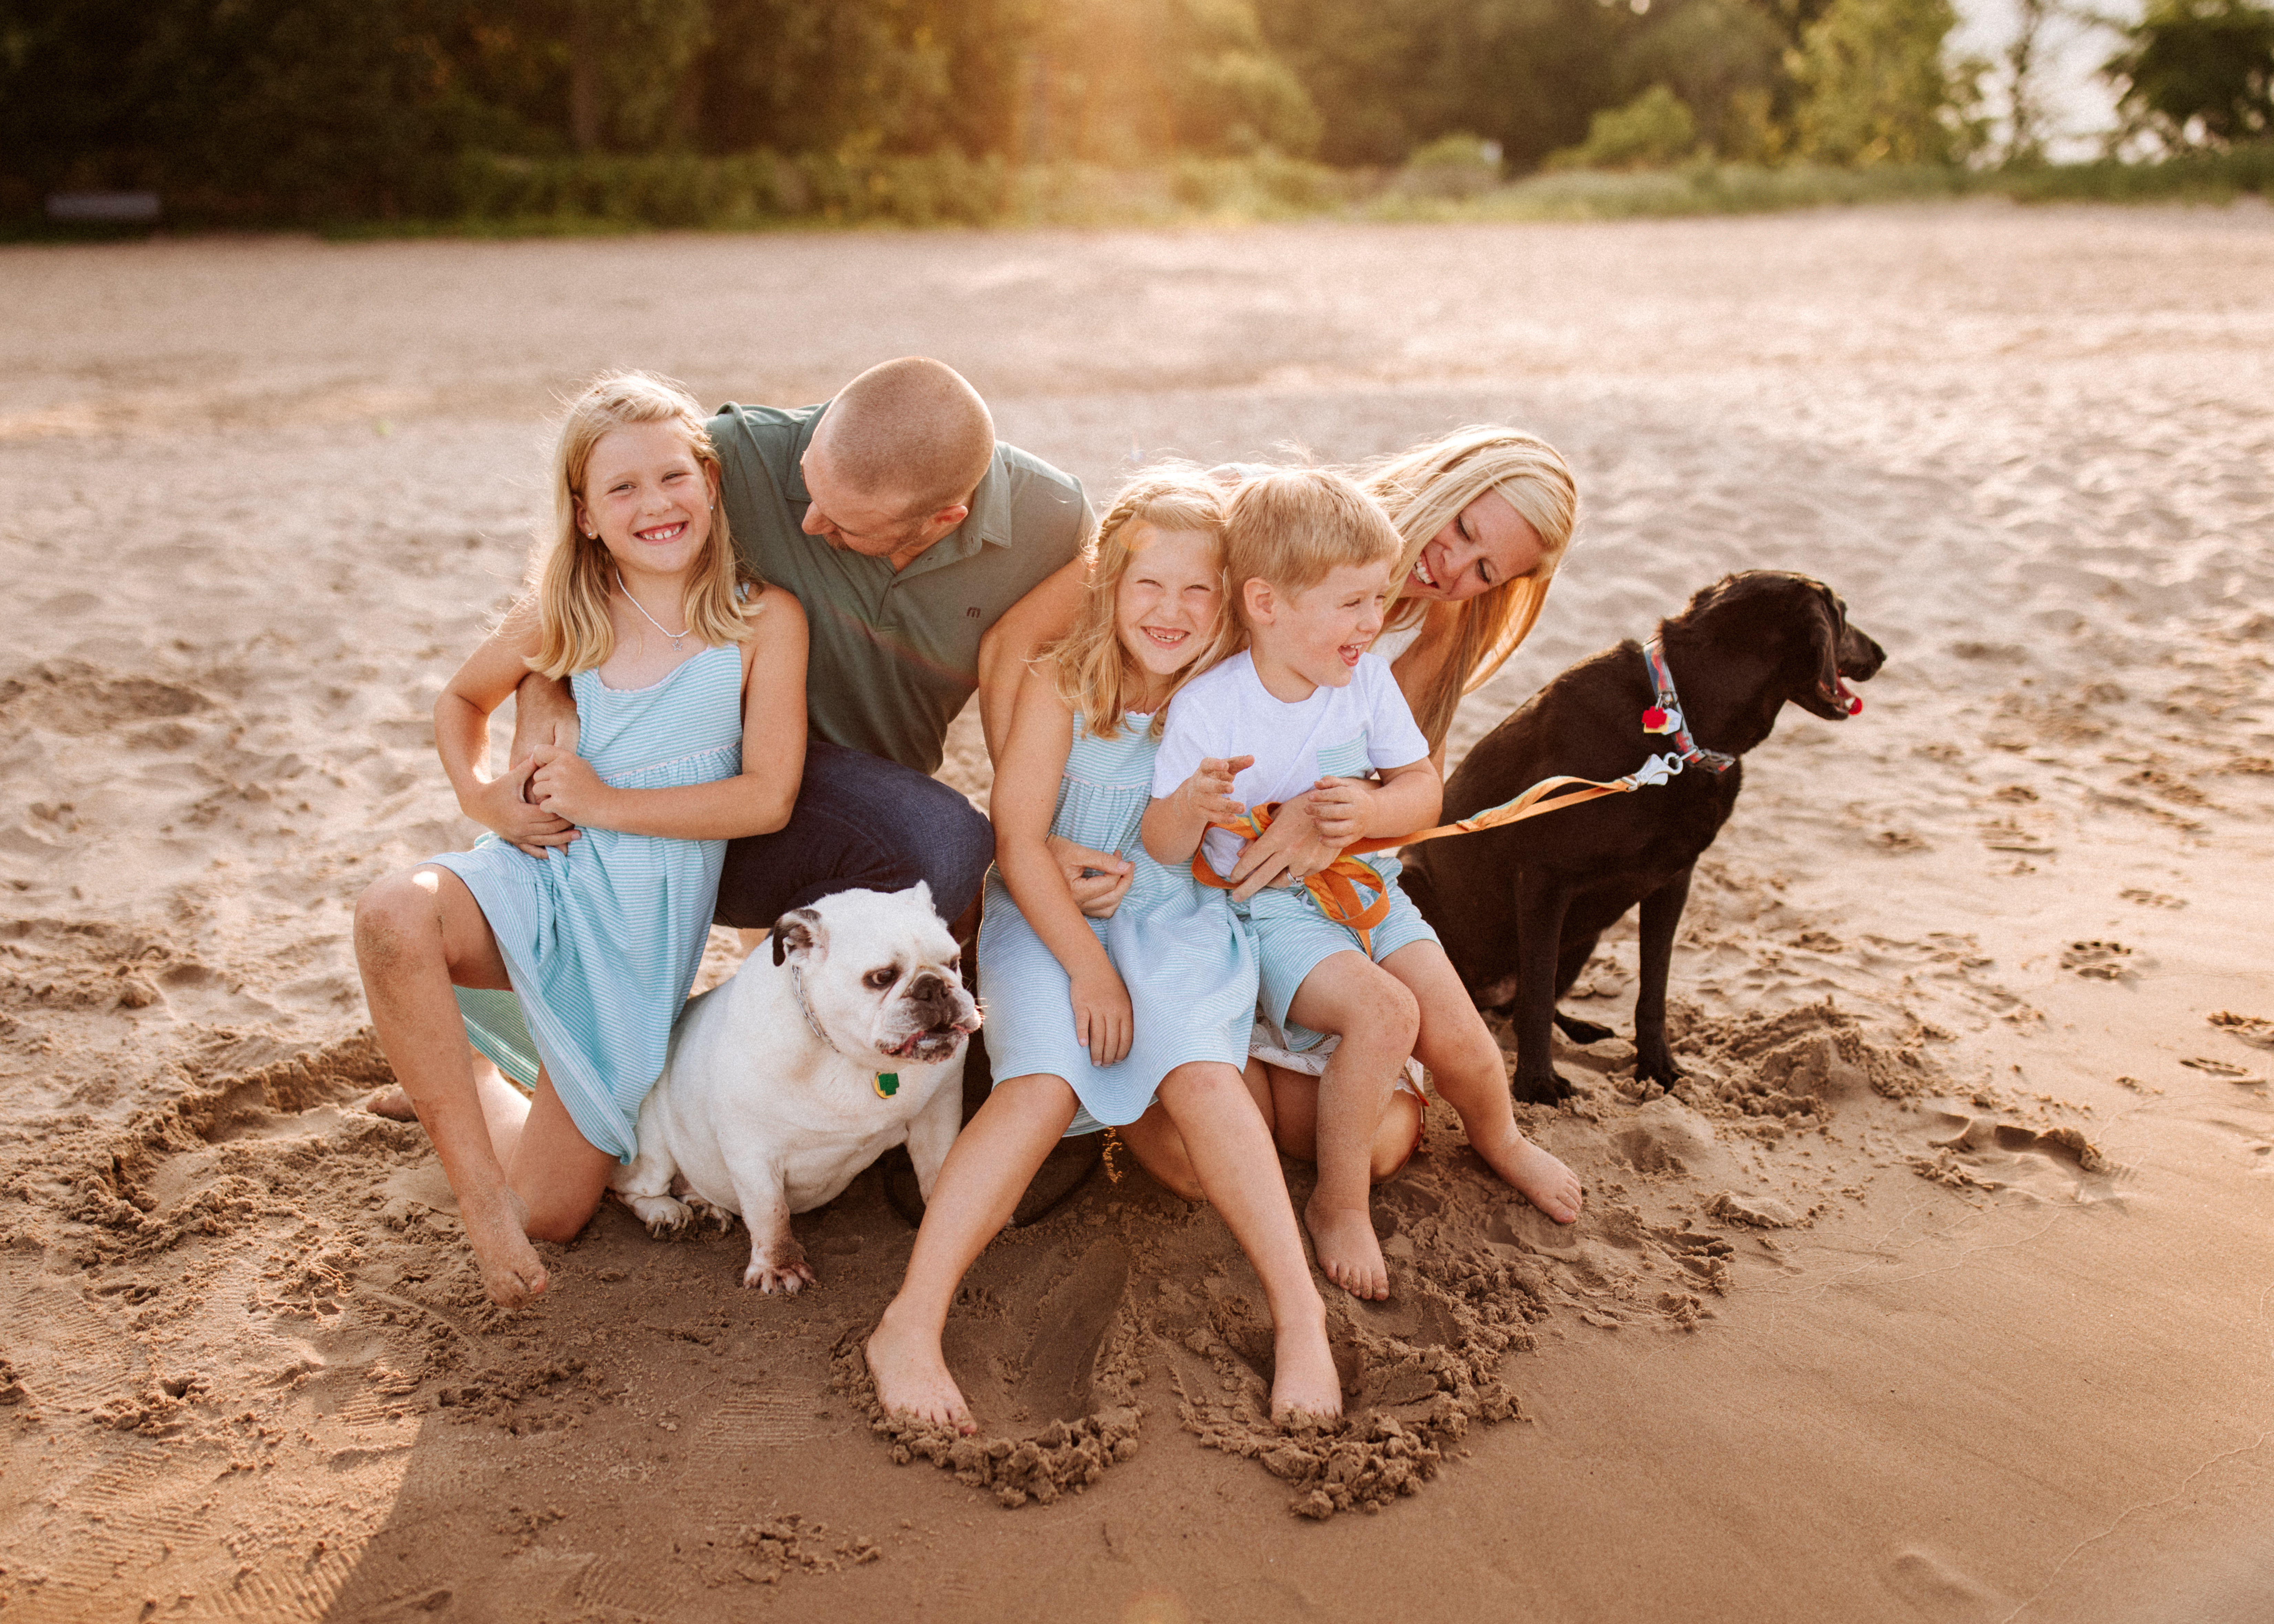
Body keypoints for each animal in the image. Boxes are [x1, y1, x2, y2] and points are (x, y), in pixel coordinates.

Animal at [1401, 568, 1883, 1101]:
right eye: (1842, 613)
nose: (1881, 653)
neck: (1683, 728)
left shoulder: (1671, 881)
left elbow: (1652, 988)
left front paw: (1656, 1065)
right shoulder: (1544, 879)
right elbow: (1538, 997)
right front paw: (1537, 1084)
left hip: (1583, 935)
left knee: (1519, 1002)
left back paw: (1581, 1027)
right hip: (1416, 887)